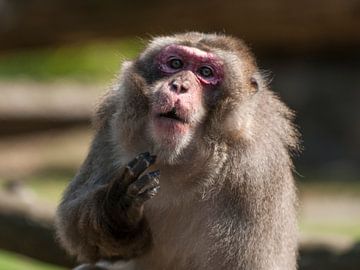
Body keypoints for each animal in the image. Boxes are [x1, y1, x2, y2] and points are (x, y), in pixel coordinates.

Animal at [54, 32, 300, 270]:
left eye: (206, 72)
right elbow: (77, 233)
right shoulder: (112, 126)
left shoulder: (256, 172)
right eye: (175, 63)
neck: (175, 161)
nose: (179, 85)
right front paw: (116, 211)